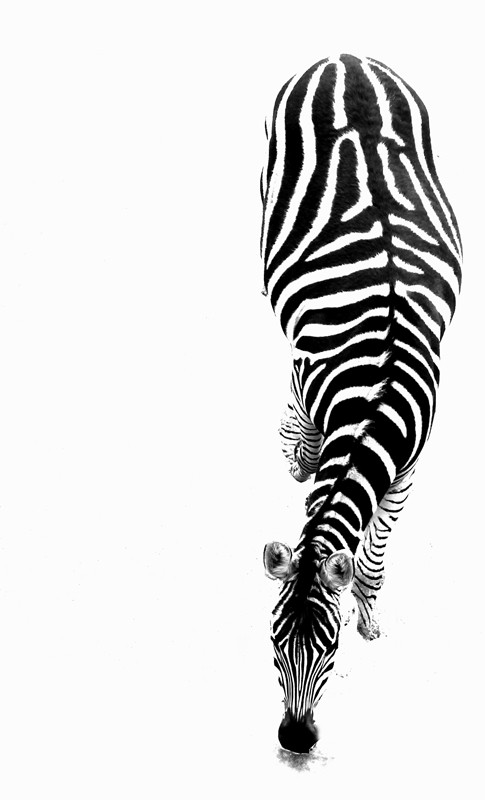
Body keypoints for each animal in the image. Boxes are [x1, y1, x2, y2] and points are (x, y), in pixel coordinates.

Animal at [260, 54, 462, 754]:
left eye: (329, 648)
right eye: (274, 643)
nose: (295, 740)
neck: (373, 402)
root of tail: (343, 57)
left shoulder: (403, 471)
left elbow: (371, 555)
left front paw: (368, 610)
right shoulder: (308, 367)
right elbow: (301, 430)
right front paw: (299, 456)